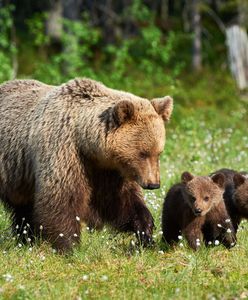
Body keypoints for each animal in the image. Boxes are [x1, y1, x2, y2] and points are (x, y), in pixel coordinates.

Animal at [0, 78, 172, 251]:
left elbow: (120, 199)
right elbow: (63, 197)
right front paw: (68, 244)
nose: (153, 184)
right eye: (142, 153)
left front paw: (145, 231)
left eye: (158, 152)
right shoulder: (64, 150)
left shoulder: (107, 169)